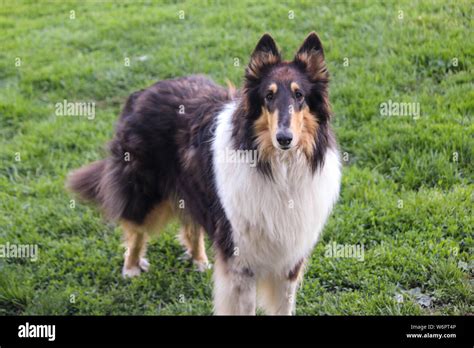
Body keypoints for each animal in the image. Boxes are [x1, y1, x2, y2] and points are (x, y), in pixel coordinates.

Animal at [66, 33, 340, 316]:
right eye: (268, 96)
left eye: (299, 95)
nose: (284, 139)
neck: (279, 169)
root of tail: (144, 91)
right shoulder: (240, 257)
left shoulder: (290, 257)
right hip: (143, 189)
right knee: (136, 227)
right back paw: (131, 267)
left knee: (192, 225)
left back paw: (199, 260)